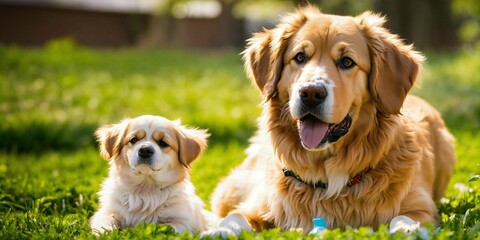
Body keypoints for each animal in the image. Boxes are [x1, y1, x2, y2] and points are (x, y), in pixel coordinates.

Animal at [204, 5, 456, 236]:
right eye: (300, 57)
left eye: (347, 62)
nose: (310, 93)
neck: (326, 174)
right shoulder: (259, 203)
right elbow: (233, 218)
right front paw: (216, 231)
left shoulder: (423, 208)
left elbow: (402, 219)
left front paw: (405, 230)